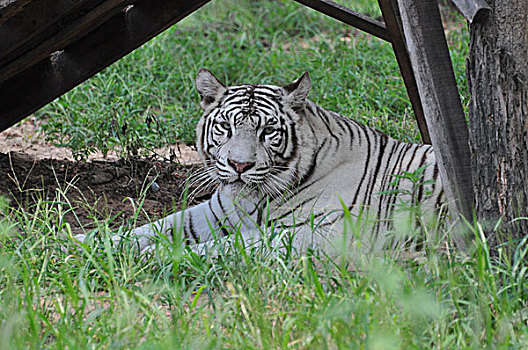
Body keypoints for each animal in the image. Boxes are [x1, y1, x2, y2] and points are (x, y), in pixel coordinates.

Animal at [76, 70, 444, 258]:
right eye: (226, 127)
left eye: (267, 131)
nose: (239, 165)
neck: (254, 197)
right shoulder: (214, 212)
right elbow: (153, 227)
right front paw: (80, 241)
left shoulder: (322, 233)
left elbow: (229, 245)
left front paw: (160, 255)